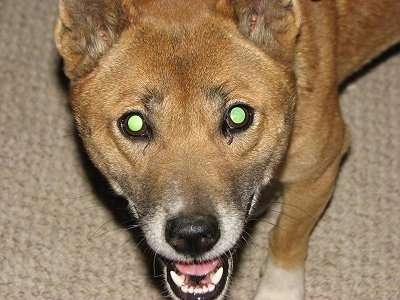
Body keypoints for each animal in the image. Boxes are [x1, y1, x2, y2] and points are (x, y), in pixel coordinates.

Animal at [54, 0, 398, 300]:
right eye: (135, 124)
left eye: (238, 116)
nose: (193, 236)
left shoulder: (318, 173)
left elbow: (288, 237)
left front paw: (278, 290)